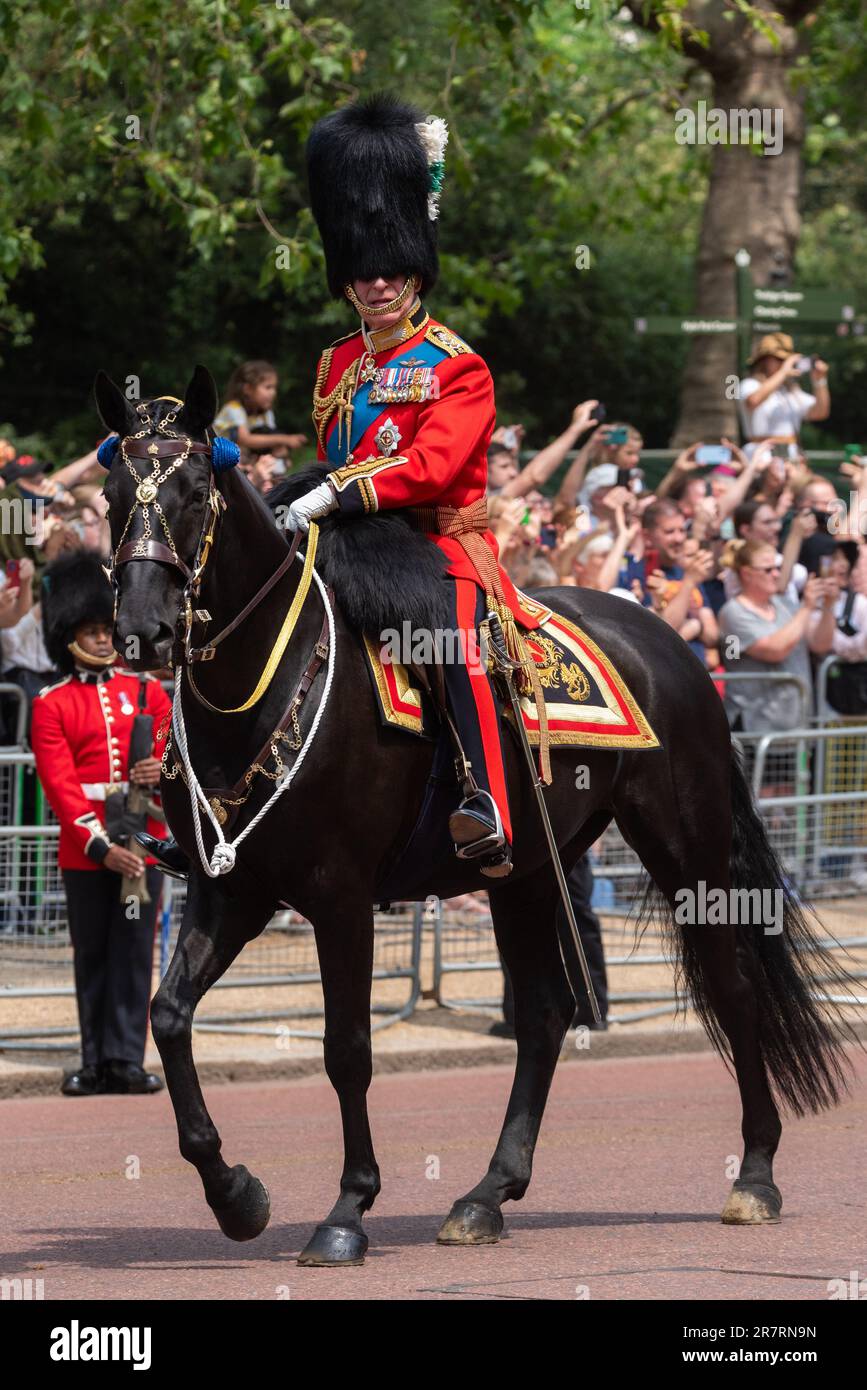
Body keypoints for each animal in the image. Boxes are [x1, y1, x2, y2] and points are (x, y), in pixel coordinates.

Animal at [93, 372, 855, 1273]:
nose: (143, 632)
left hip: (685, 850)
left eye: (193, 491)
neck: (261, 686)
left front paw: (346, 1210)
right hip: (524, 868)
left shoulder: (339, 897)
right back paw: (487, 1194)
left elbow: (347, 1049)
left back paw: (755, 1175)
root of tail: (666, 639)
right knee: (546, 1015)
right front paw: (235, 1195)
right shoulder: (230, 889)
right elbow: (169, 1016)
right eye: (112, 495)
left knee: (732, 988)